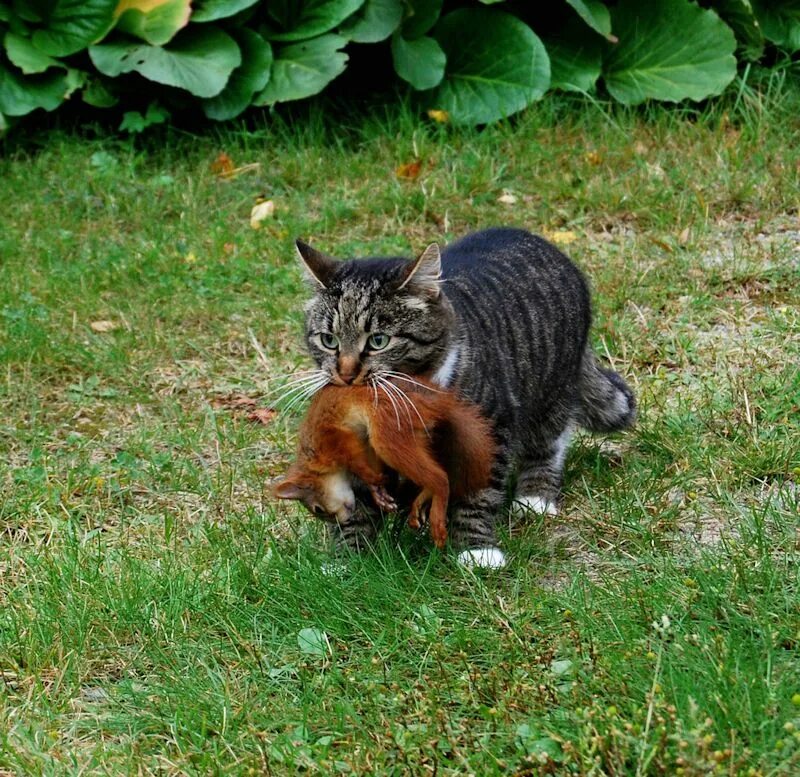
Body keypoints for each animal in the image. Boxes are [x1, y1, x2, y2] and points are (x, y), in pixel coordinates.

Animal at [274, 374, 494, 544]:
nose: (342, 521)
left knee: (440, 477)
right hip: (417, 438)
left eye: (318, 509)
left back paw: (437, 519)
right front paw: (377, 491)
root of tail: (436, 404)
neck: (310, 456)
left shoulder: (333, 437)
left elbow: (355, 460)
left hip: (387, 430)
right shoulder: (363, 444)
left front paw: (371, 479)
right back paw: (421, 500)